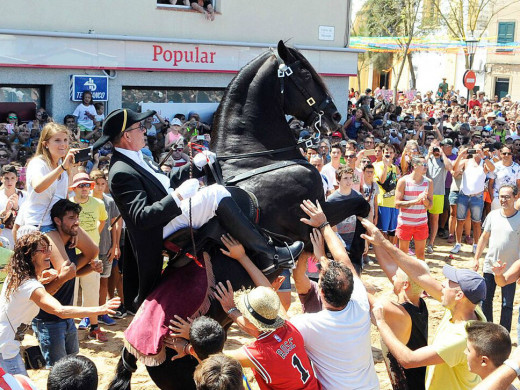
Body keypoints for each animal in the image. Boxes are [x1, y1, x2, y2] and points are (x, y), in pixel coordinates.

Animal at [109, 40, 370, 390]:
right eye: (303, 72)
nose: (335, 115)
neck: (257, 159)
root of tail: (132, 350)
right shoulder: (312, 212)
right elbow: (358, 205)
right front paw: (353, 257)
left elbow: (357, 207)